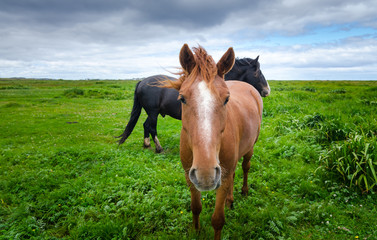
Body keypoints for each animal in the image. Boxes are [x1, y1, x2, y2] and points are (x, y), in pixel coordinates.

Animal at [117, 56, 268, 152]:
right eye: (257, 72)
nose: (267, 90)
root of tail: (142, 82)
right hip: (153, 112)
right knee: (151, 126)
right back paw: (158, 148)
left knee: (145, 126)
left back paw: (147, 145)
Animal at [164, 44, 262, 238]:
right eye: (182, 98)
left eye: (227, 99)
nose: (206, 173)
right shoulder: (189, 176)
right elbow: (195, 207)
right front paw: (196, 231)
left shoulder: (221, 178)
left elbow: (218, 220)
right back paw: (230, 200)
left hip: (249, 149)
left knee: (245, 167)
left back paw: (244, 191)